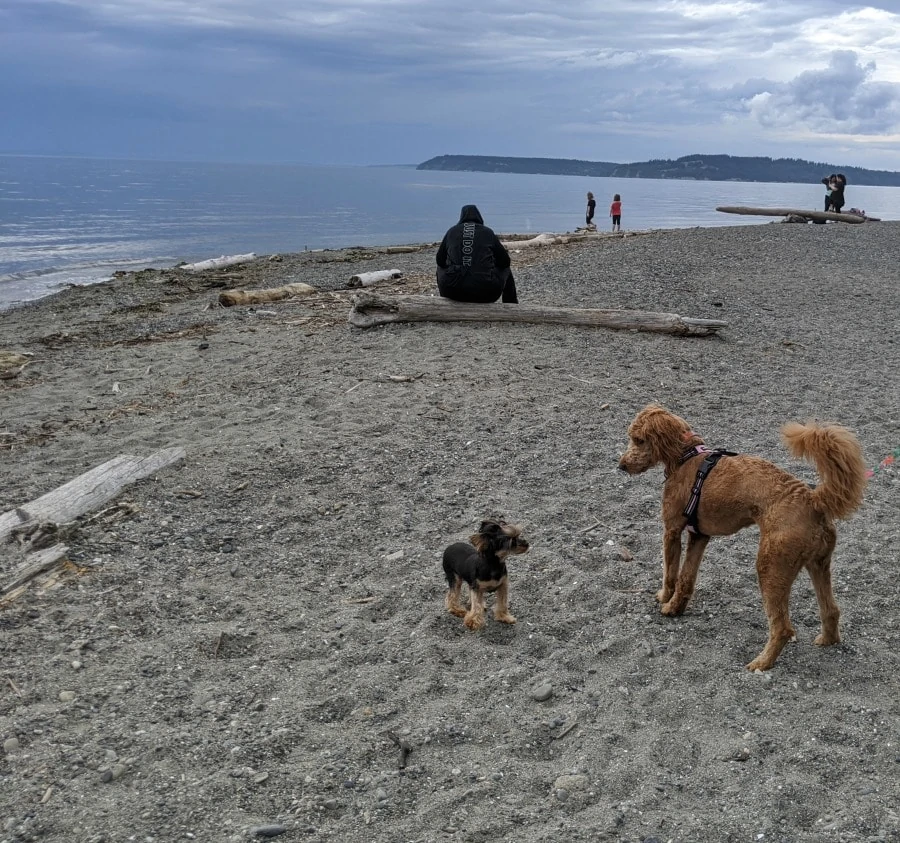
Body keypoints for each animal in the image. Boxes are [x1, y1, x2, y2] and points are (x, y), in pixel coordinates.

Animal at [620, 406, 864, 668]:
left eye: (638, 440)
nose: (621, 465)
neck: (686, 454)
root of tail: (814, 500)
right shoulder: (699, 536)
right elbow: (686, 578)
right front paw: (675, 608)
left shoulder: (672, 531)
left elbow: (670, 574)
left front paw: (664, 598)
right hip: (818, 563)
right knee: (831, 610)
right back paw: (827, 640)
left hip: (771, 567)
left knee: (783, 629)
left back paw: (761, 664)